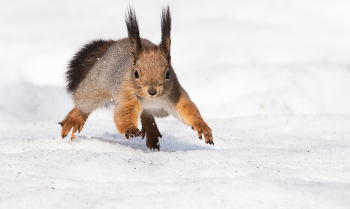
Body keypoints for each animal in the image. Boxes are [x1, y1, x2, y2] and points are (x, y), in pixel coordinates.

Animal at [58, 6, 213, 150]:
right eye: (136, 73)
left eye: (168, 73)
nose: (152, 91)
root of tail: (114, 44)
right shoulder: (126, 93)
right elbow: (124, 111)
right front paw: (131, 129)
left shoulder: (175, 93)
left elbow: (186, 109)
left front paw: (202, 126)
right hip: (96, 85)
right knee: (84, 103)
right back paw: (74, 119)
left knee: (146, 114)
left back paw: (151, 131)